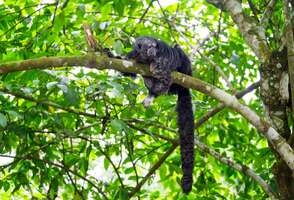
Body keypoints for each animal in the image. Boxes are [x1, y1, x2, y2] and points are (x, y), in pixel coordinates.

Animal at [127, 36, 194, 194]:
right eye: (147, 47)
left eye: (154, 46)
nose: (152, 50)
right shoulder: (134, 55)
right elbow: (129, 69)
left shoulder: (161, 59)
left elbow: (164, 78)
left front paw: (154, 90)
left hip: (186, 68)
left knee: (178, 50)